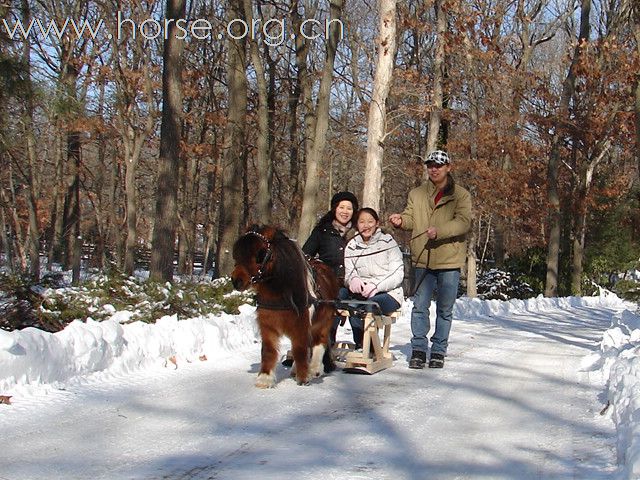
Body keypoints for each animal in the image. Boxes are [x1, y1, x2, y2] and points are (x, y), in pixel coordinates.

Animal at [231, 227, 340, 388]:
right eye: (237, 254)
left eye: (261, 254)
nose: (236, 281)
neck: (280, 295)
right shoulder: (267, 325)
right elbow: (269, 350)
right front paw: (265, 378)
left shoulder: (300, 325)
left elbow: (300, 349)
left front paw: (304, 378)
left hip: (324, 321)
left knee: (319, 342)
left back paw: (314, 369)